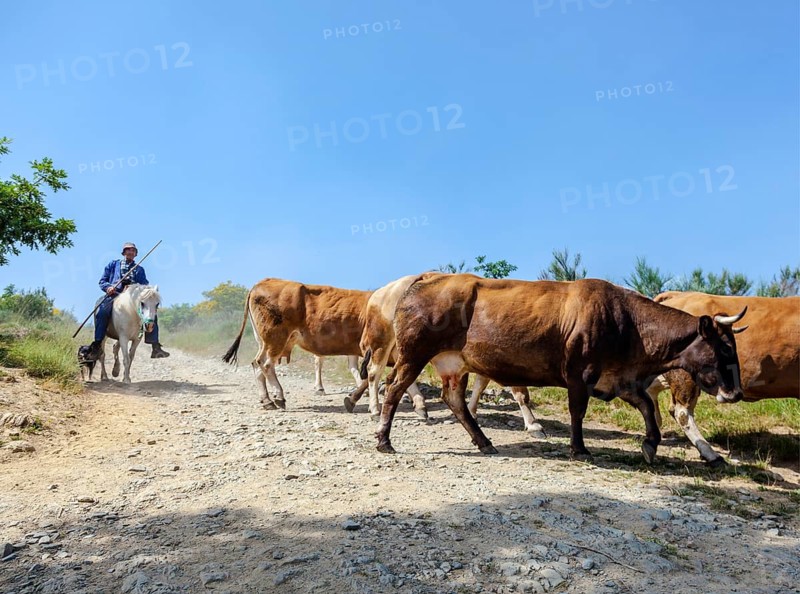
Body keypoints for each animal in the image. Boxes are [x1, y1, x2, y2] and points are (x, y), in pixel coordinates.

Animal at [347, 271, 546, 436]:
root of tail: (381, 291)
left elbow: (480, 385)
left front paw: (471, 411)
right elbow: (519, 391)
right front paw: (533, 424)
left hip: (405, 349)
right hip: (382, 340)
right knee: (375, 373)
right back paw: (374, 409)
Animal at [374, 274, 747, 464]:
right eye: (725, 347)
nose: (736, 392)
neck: (628, 322)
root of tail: (424, 280)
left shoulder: (621, 378)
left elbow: (646, 408)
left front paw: (651, 445)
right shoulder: (580, 373)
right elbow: (577, 411)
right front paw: (579, 448)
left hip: (453, 362)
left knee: (454, 399)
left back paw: (484, 441)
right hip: (413, 354)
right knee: (393, 388)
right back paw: (384, 439)